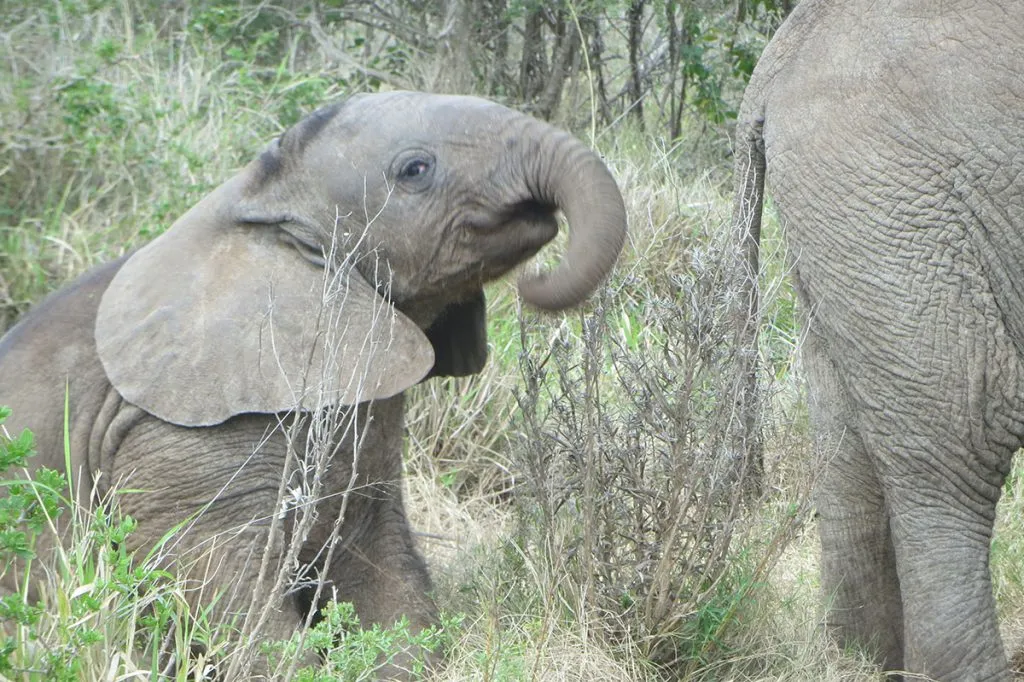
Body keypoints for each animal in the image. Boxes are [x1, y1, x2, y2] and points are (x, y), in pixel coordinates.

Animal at [0, 91, 626, 677]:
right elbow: (216, 579)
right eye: (415, 169)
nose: (534, 282)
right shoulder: (171, 443)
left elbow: (377, 565)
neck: (258, 202)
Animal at [731, 0, 1024, 679]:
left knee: (845, 440)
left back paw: (862, 660)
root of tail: (783, 50)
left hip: (852, 219)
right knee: (961, 437)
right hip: (901, 203)